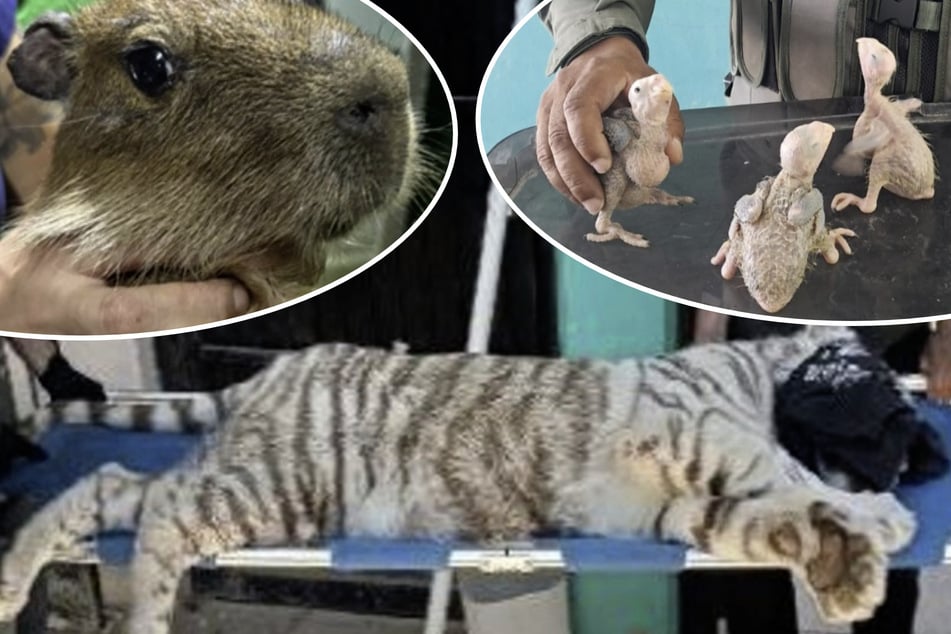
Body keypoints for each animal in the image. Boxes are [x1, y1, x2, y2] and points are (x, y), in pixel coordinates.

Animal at [0, 326, 916, 633]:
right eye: (886, 406)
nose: (913, 456)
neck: (763, 372)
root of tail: (275, 368)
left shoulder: (679, 508)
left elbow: (769, 522)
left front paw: (847, 567)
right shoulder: (697, 433)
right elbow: (790, 472)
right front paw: (879, 515)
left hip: (263, 489)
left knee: (116, 483)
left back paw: (14, 576)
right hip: (278, 481)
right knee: (161, 510)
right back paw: (140, 621)